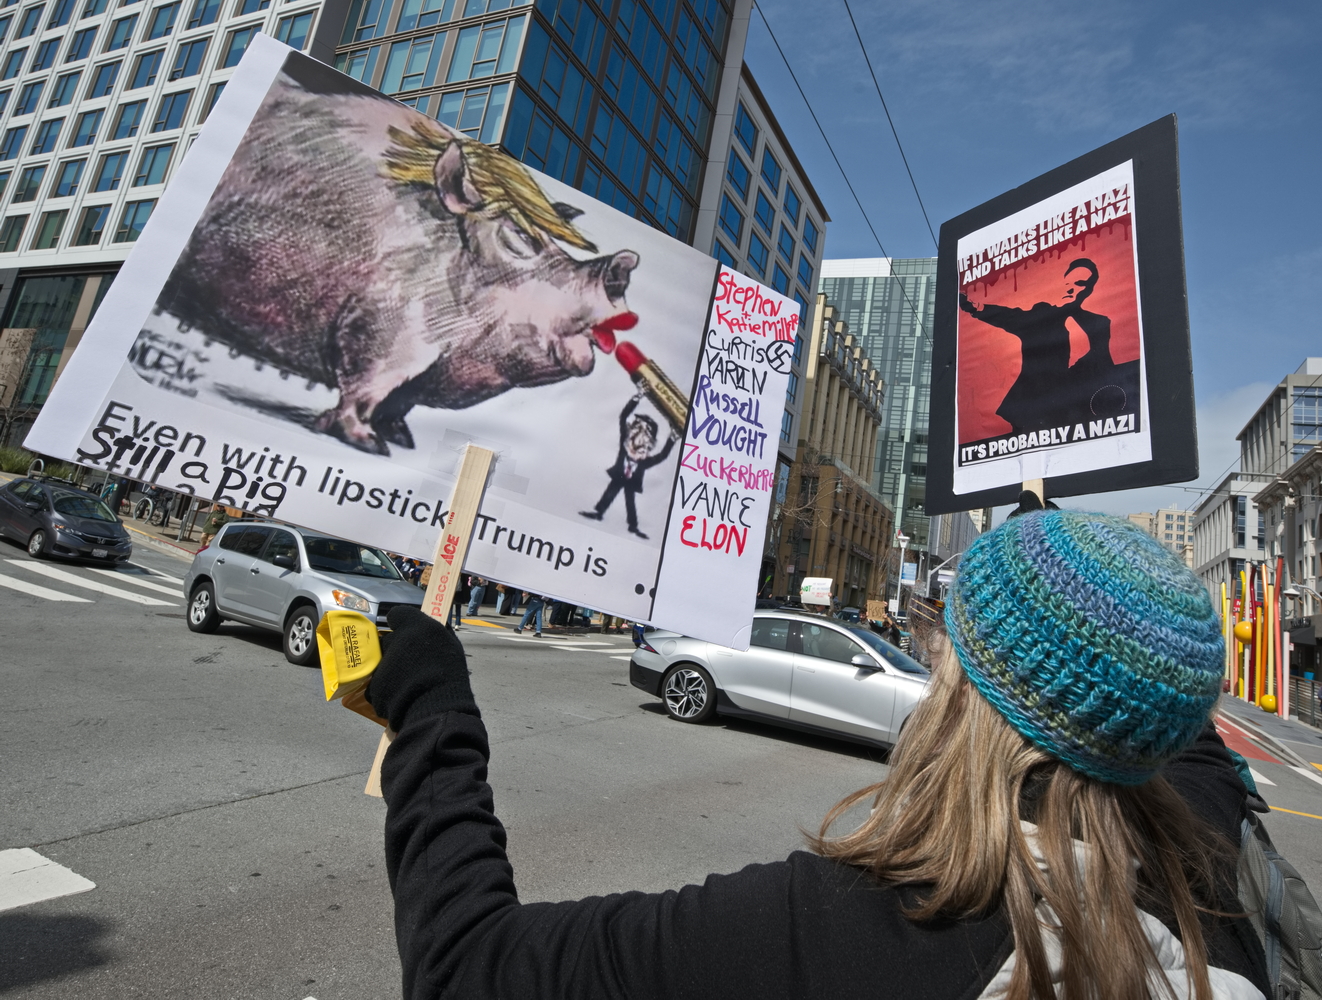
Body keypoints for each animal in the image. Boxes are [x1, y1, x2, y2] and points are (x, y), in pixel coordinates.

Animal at [153, 70, 639, 455]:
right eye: (517, 238)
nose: (623, 266)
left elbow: (400, 400)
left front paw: (402, 440)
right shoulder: (389, 327)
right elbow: (370, 384)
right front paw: (369, 445)